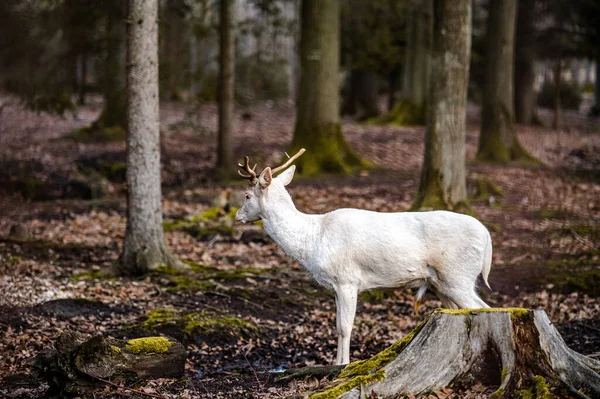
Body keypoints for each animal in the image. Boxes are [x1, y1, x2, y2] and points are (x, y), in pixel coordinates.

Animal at [234, 149, 492, 366]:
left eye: (246, 195)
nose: (236, 216)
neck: (314, 240)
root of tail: (487, 237)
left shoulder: (347, 280)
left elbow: (345, 326)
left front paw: (344, 364)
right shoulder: (336, 286)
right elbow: (337, 325)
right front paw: (336, 362)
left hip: (458, 276)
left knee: (485, 307)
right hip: (441, 283)